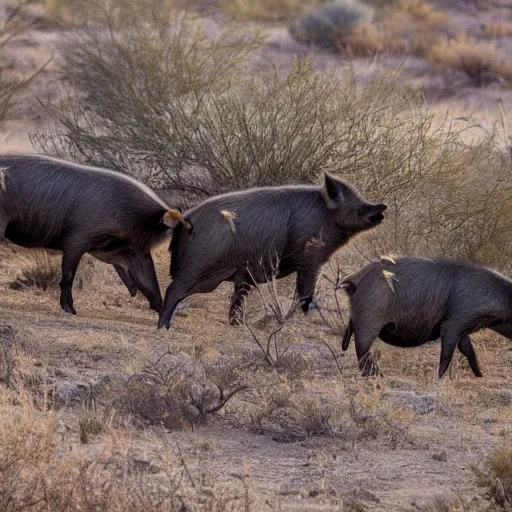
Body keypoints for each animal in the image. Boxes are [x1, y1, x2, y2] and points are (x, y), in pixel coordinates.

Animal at [340, 258, 512, 378]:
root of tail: (353, 280)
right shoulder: (452, 324)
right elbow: (447, 355)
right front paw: (439, 379)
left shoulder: (463, 329)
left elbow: (469, 351)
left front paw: (480, 375)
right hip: (368, 323)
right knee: (362, 350)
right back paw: (375, 376)